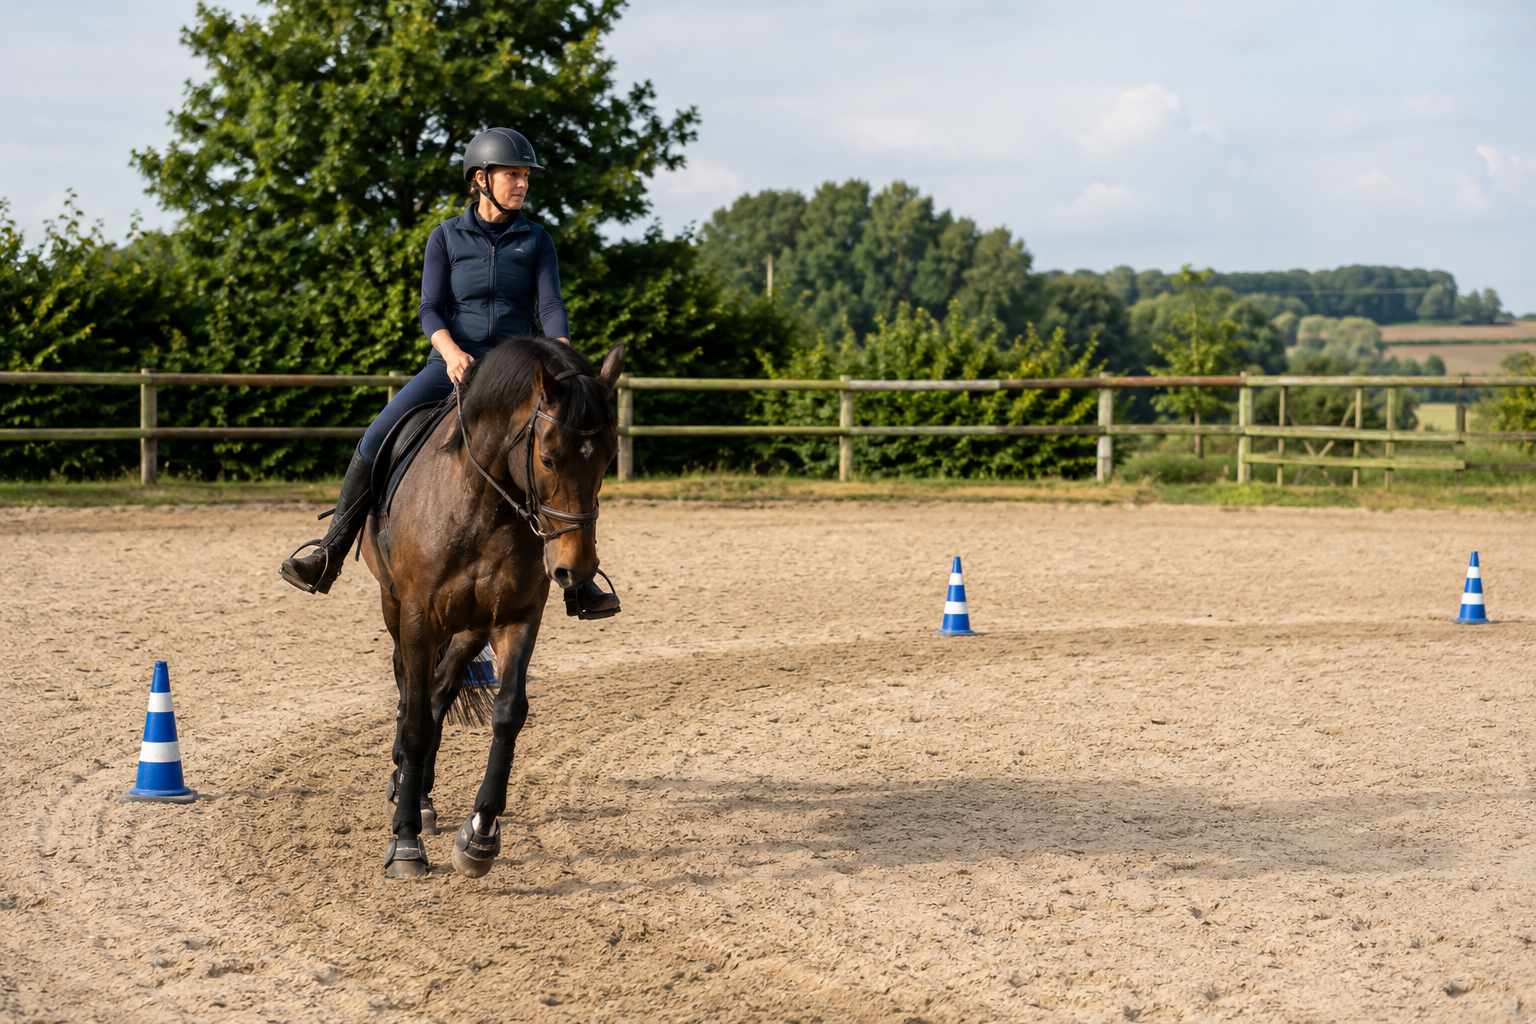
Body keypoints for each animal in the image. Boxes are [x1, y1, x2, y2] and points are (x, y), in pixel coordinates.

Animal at [359, 336, 623, 879]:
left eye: (608, 458)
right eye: (549, 458)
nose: (575, 569)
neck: (485, 508)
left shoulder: (517, 618)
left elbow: (508, 713)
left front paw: (480, 835)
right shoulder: (417, 617)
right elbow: (413, 720)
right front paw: (406, 842)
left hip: (469, 628)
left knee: (439, 691)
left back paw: (421, 794)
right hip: (396, 607)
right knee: (410, 693)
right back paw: (407, 791)